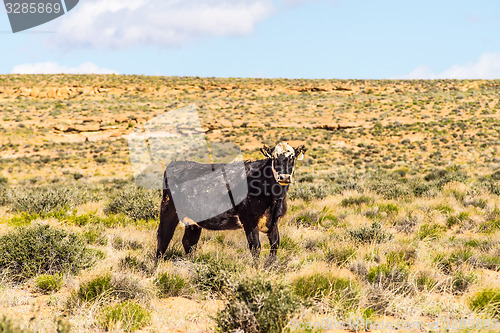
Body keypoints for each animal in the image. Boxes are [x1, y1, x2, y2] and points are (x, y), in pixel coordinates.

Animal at [156, 141, 306, 258]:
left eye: (292, 158)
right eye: (274, 158)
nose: (284, 177)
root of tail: (176, 164)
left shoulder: (273, 221)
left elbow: (275, 245)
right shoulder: (248, 219)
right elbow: (255, 247)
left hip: (193, 221)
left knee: (189, 243)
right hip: (168, 209)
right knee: (163, 237)